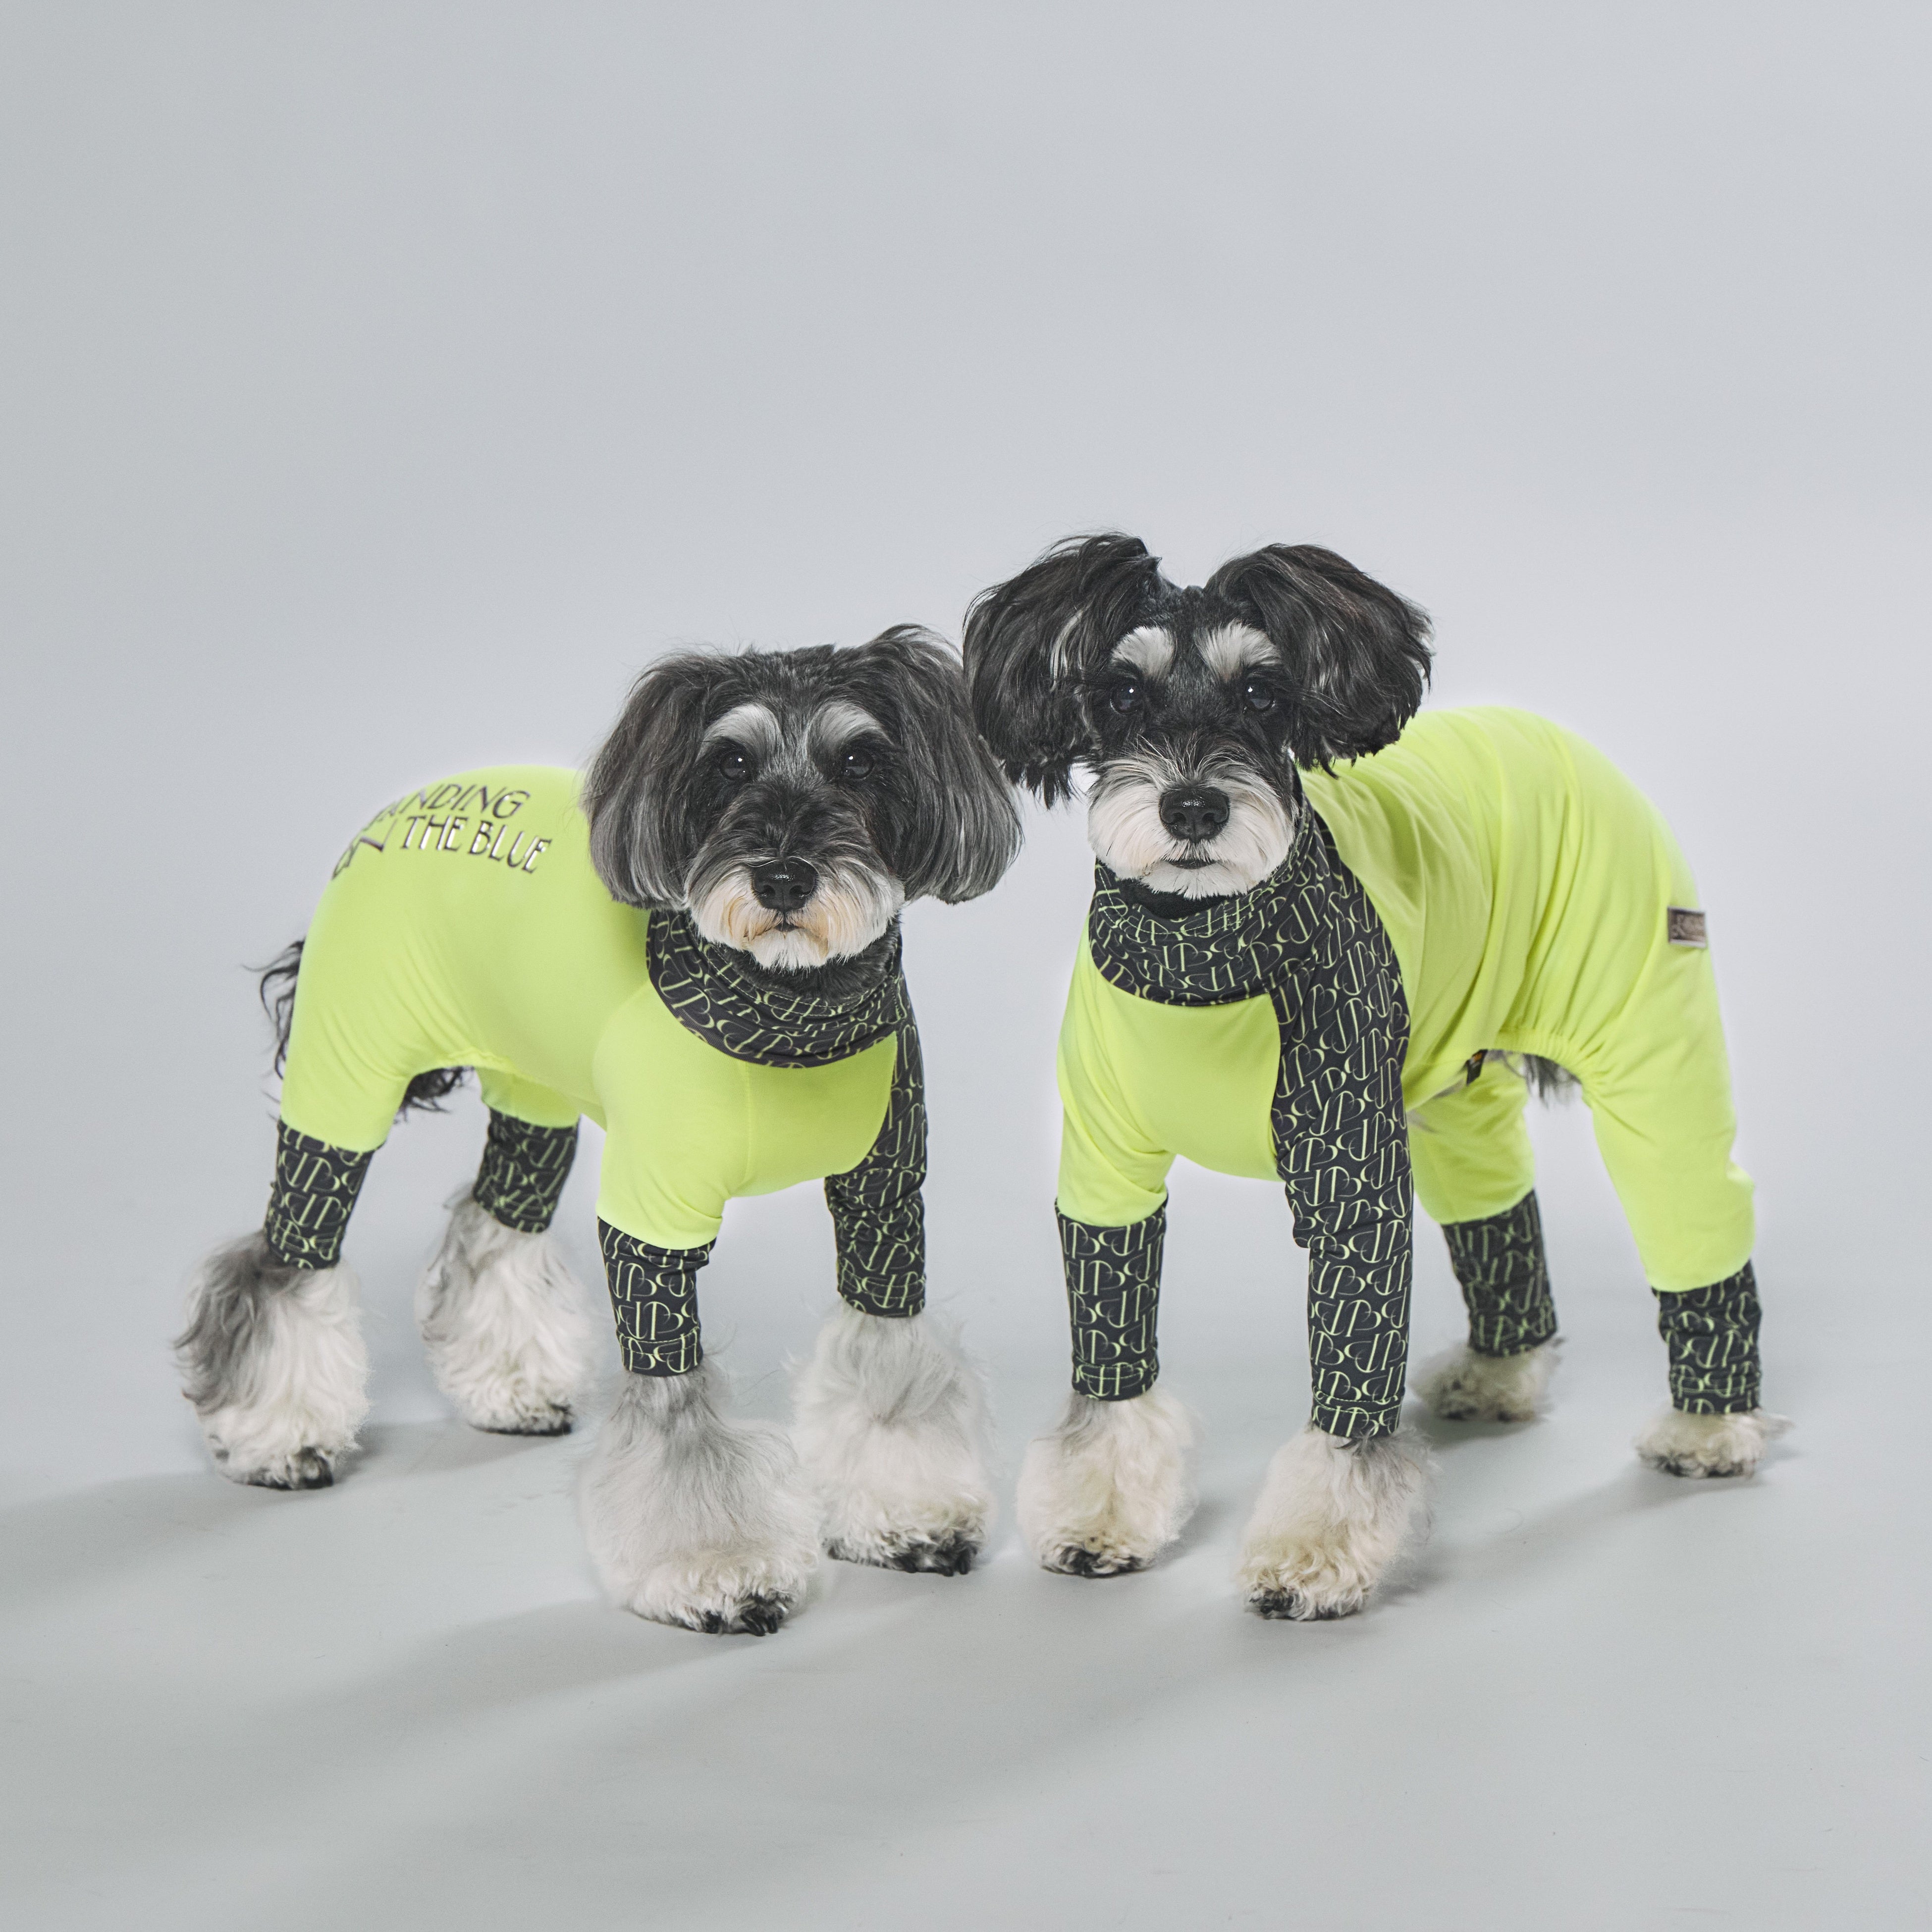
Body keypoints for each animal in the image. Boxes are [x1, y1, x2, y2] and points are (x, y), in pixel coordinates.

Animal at [177, 625, 1020, 1635]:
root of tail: (404, 807)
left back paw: (509, 1387)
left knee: (495, 1224)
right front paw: (720, 1567)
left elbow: (889, 1365)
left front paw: (906, 1516)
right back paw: (278, 1436)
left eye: (860, 760)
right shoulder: (651, 1226)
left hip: (534, 1095)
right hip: (346, 1075)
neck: (788, 1010)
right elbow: (677, 1411)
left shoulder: (885, 1204)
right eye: (729, 764)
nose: (782, 874)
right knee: (285, 1256)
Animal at [963, 534, 1786, 1619]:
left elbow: (1351, 1397)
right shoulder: (1105, 1181)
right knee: (1499, 1207)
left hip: (1648, 1052)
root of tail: (1552, 729)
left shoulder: (1351, 1181)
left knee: (1699, 1218)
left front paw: (1314, 1550)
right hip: (1457, 1090)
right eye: (1124, 691)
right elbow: (1110, 1370)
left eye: (1263, 691)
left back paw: (1710, 1428)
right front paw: (1100, 1515)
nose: (1193, 805)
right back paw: (1502, 1372)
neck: (1203, 951)